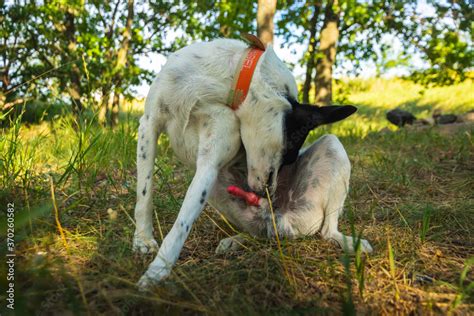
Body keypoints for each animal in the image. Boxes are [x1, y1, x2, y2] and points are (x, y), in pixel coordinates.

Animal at [131, 35, 372, 290]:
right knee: (259, 234)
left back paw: (348, 242)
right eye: (290, 149)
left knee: (327, 231)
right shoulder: (149, 124)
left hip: (333, 147)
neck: (217, 86)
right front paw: (143, 240)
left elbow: (182, 222)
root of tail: (279, 219)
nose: (269, 195)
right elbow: (144, 194)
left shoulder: (211, 160)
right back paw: (235, 241)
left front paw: (157, 271)